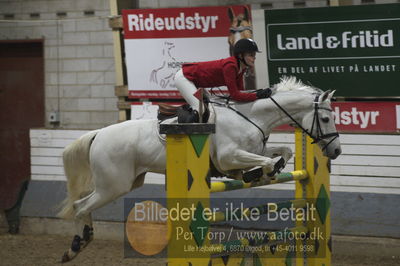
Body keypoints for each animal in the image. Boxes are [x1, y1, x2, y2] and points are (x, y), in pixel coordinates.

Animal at [58, 76, 340, 260]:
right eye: (326, 118)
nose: (335, 151)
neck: (252, 116)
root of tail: (97, 134)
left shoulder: (254, 150)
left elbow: (282, 153)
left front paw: (263, 171)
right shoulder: (229, 157)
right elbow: (265, 162)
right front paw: (261, 172)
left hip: (124, 182)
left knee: (82, 204)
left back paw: (83, 240)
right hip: (114, 185)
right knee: (80, 206)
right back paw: (74, 246)